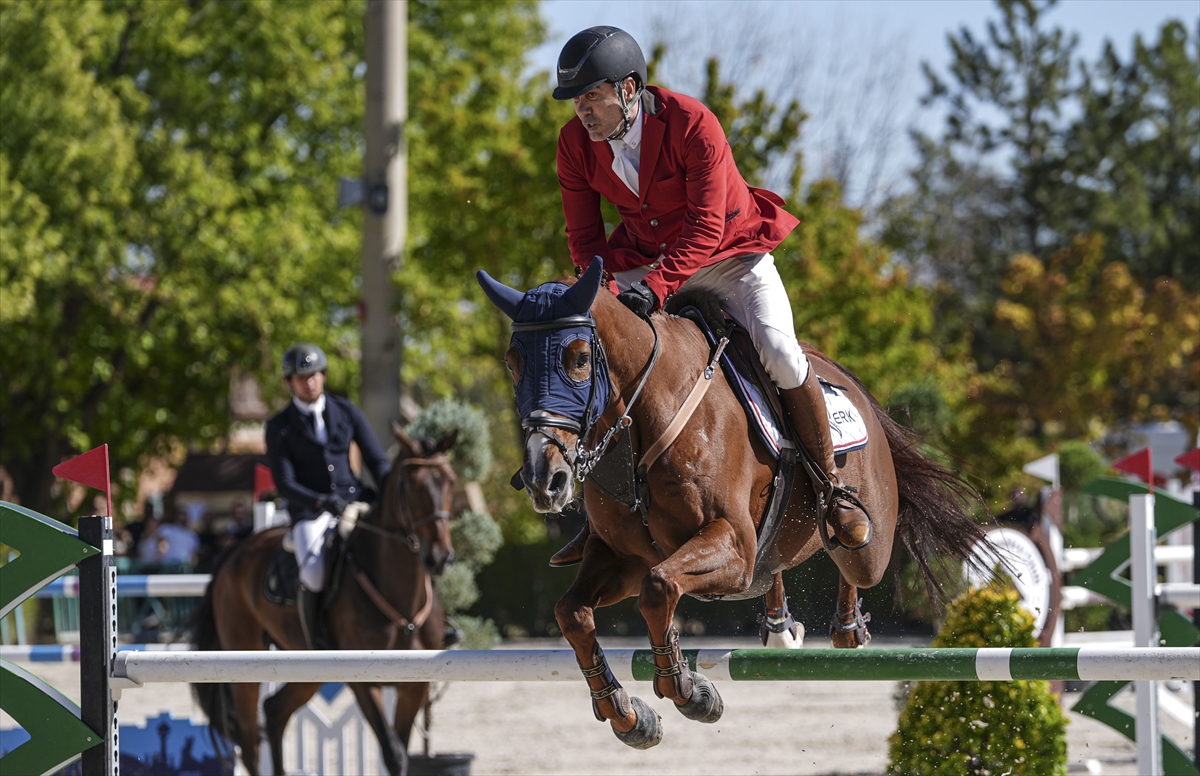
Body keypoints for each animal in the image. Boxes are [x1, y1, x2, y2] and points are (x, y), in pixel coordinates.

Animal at [189, 424, 456, 776]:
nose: (439, 558)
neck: (401, 599)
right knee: (249, 741)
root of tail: (235, 551)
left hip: (306, 663)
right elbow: (394, 753)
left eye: (451, 481)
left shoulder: (415, 685)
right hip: (242, 659)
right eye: (412, 485)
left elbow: (402, 754)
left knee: (274, 711)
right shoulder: (364, 683)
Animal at [477, 262, 993, 753]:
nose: (543, 480)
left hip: (868, 545)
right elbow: (573, 612)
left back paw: (848, 610)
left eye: (580, 359)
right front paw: (627, 713)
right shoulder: (622, 557)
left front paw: (690, 691)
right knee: (773, 565)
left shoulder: (729, 544)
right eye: (512, 363)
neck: (641, 421)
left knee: (851, 557)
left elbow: (659, 589)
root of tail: (852, 388)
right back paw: (780, 625)